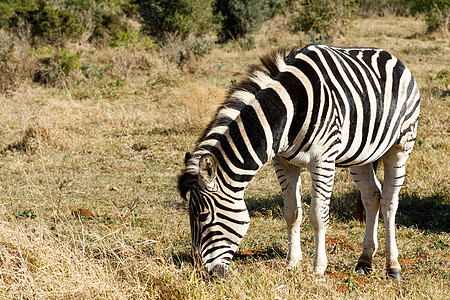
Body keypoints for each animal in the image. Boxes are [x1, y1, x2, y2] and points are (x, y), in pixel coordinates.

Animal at [178, 43, 420, 280]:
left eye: (202, 216)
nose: (199, 273)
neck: (289, 112)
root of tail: (389, 54)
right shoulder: (284, 163)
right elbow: (291, 213)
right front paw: (292, 263)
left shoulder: (323, 161)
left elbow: (318, 215)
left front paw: (319, 269)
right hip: (360, 155)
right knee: (372, 197)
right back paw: (364, 261)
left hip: (401, 144)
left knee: (390, 201)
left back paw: (393, 267)